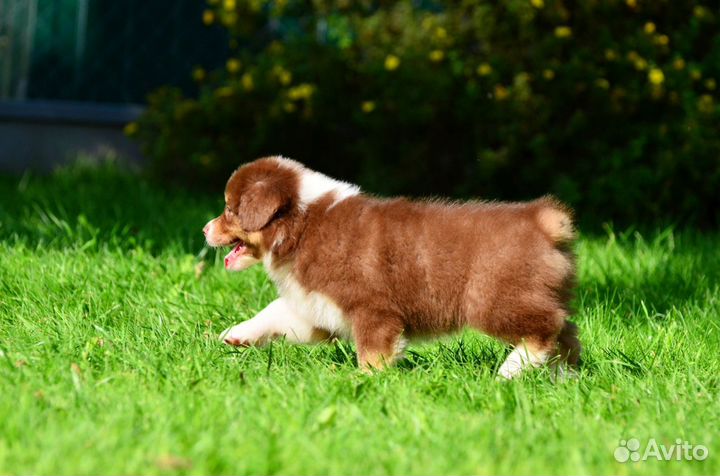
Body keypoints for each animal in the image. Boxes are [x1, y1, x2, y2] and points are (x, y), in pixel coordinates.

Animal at [202, 156, 580, 380]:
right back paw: (564, 379)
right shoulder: (318, 307)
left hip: (494, 300)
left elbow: (372, 352)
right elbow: (276, 311)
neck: (304, 225)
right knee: (568, 334)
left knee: (547, 329)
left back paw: (510, 370)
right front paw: (236, 334)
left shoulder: (372, 309)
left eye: (230, 209)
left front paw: (365, 381)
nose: (205, 229)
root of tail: (543, 220)